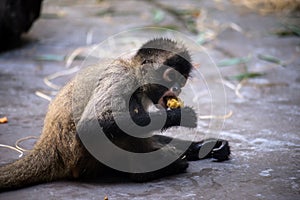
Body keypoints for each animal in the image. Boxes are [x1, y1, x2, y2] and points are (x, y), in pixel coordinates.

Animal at [0, 37, 231, 191]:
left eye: (182, 79)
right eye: (170, 76)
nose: (177, 88)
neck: (133, 70)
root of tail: (50, 144)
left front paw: (203, 146)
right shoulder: (122, 77)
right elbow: (89, 128)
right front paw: (179, 116)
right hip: (84, 156)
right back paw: (150, 171)